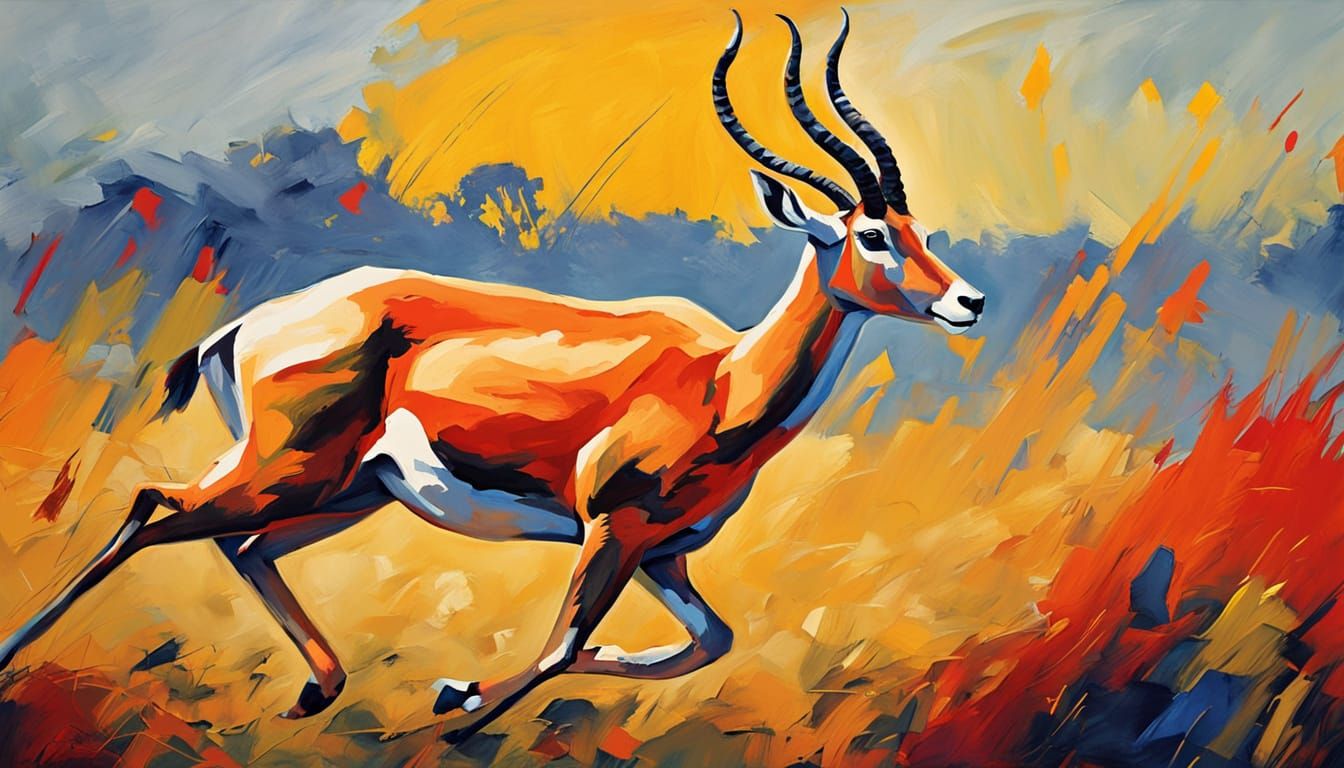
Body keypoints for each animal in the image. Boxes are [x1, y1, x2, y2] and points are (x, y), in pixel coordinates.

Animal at [0, 10, 983, 740]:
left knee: (240, 545)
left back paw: (318, 693)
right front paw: (460, 711)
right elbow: (563, 647)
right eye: (871, 233)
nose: (967, 301)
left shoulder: (664, 551)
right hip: (286, 473)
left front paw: (457, 694)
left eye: (917, 226)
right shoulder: (611, 527)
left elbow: (707, 640)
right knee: (153, 508)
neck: (724, 380)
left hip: (349, 492)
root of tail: (250, 321)